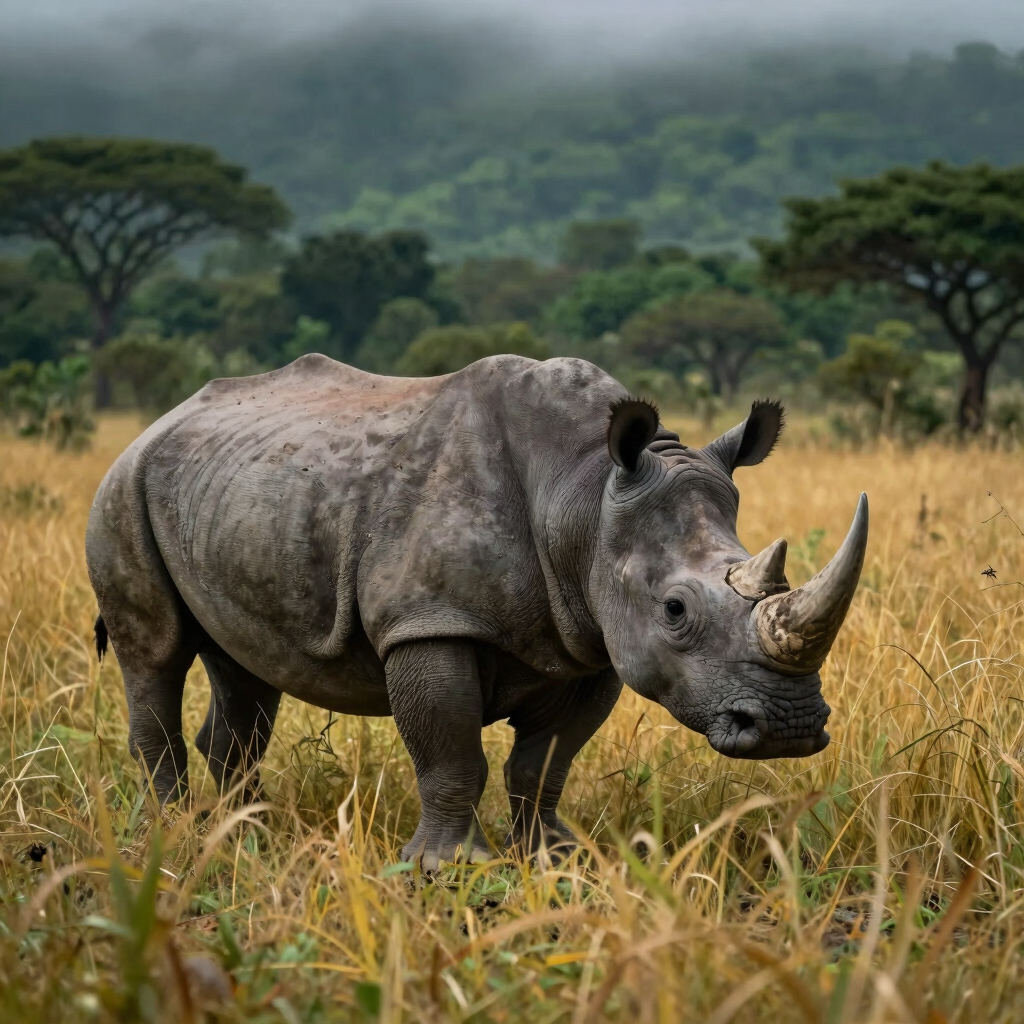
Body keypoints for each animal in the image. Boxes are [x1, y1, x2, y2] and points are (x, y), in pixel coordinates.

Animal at [86, 354, 867, 868]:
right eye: (675, 609)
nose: (789, 729)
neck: (583, 492)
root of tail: (161, 421)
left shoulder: (592, 641)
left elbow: (544, 763)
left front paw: (556, 859)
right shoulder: (430, 621)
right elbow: (451, 749)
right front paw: (448, 870)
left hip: (232, 495)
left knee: (244, 669)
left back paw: (245, 836)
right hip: (122, 486)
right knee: (155, 652)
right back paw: (172, 836)